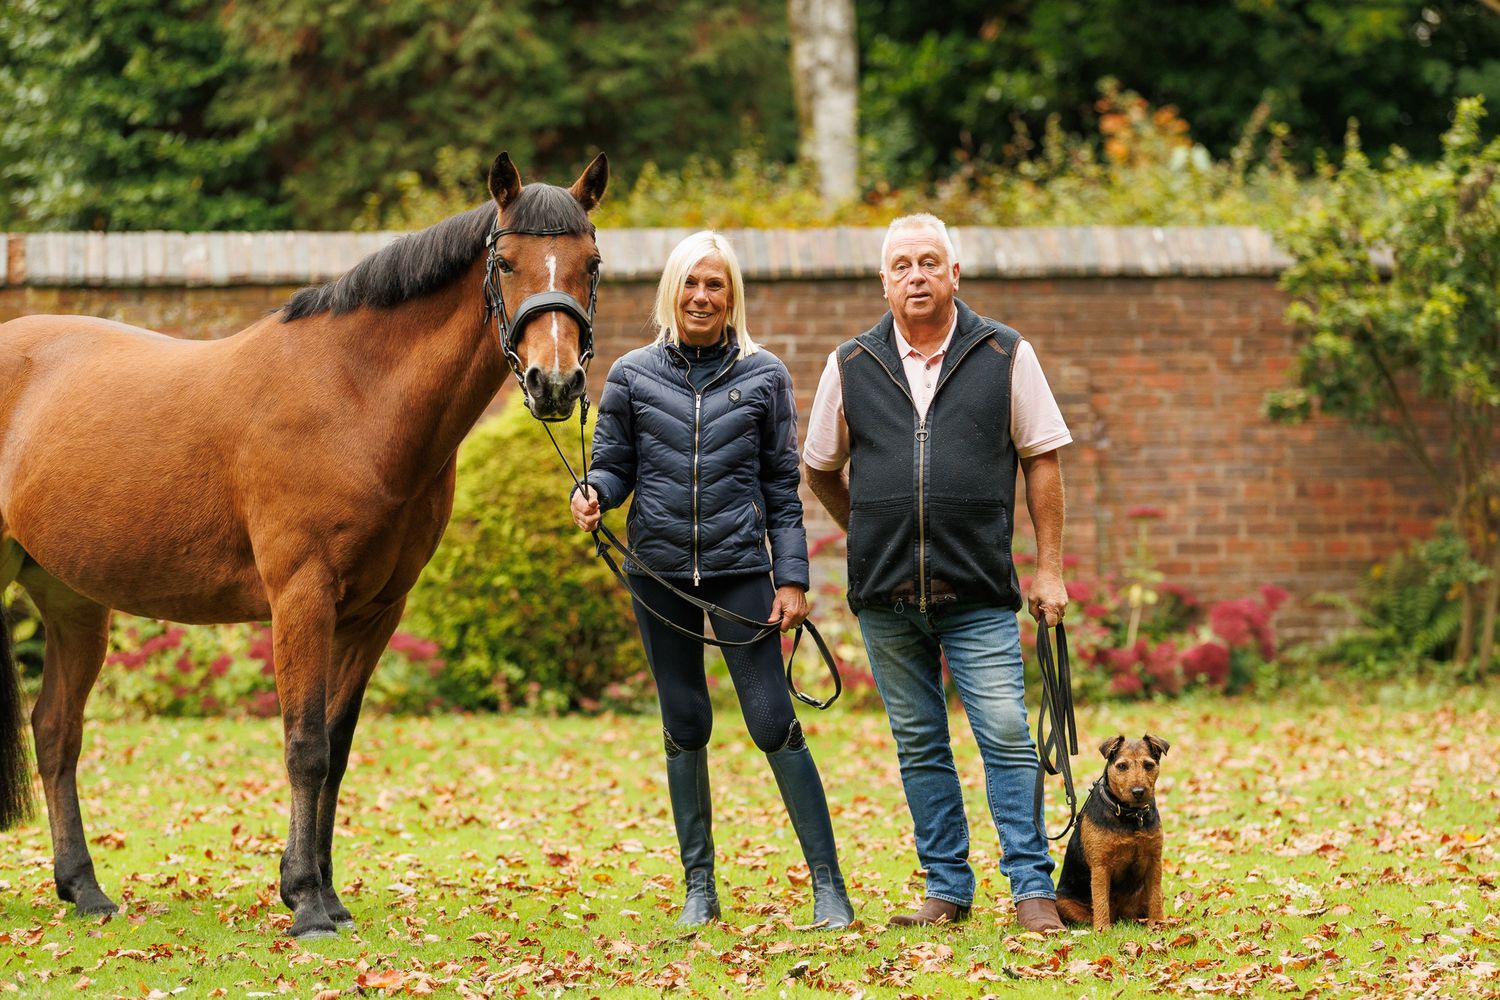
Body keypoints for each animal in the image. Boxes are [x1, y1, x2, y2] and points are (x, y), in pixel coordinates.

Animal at [0, 151, 608, 938]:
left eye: (591, 262)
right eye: (504, 262)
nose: (555, 381)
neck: (354, 394)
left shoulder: (375, 612)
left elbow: (338, 748)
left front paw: (324, 894)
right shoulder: (301, 597)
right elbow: (305, 746)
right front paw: (307, 904)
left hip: (73, 602)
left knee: (55, 732)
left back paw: (85, 889)